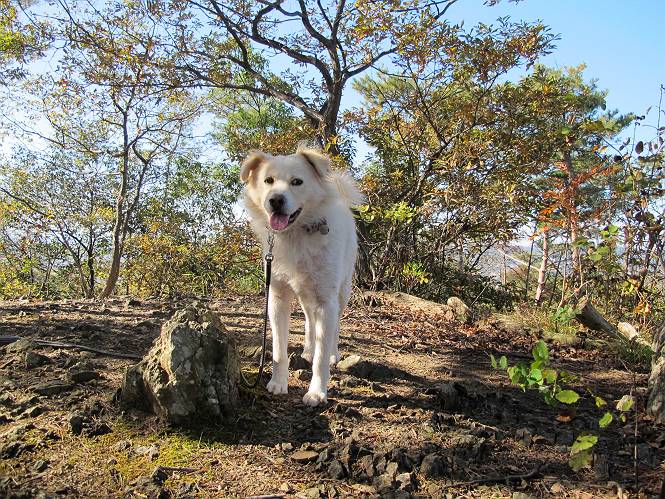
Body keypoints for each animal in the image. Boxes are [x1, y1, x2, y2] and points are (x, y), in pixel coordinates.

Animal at [240, 145, 364, 406]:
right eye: (268, 180)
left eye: (297, 182)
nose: (275, 200)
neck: (296, 233)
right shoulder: (277, 298)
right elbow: (279, 348)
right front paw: (278, 383)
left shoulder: (327, 301)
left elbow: (321, 355)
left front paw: (317, 392)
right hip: (306, 294)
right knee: (309, 320)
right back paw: (308, 349)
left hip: (341, 293)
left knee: (334, 328)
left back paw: (333, 354)